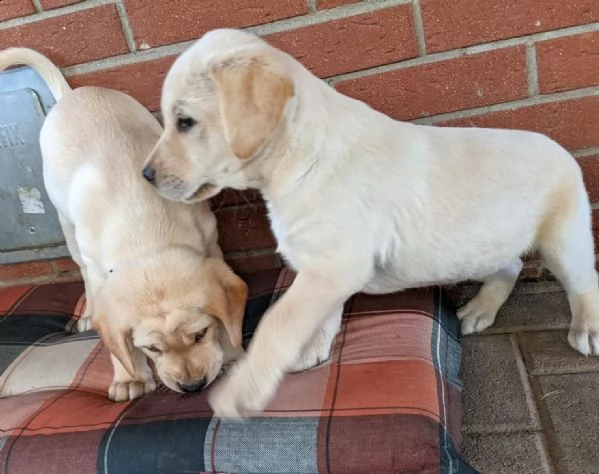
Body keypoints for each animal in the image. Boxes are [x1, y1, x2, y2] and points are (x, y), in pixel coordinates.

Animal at [0, 50, 248, 402]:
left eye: (201, 334)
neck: (146, 236)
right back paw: (87, 315)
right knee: (83, 273)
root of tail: (72, 94)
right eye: (152, 349)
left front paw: (232, 351)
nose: (192, 387)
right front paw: (128, 377)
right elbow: (116, 340)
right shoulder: (101, 272)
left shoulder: (210, 240)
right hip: (67, 225)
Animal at [143, 29, 596, 416]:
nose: (145, 175)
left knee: (582, 280)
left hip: (564, 238)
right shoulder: (323, 271)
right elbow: (318, 316)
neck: (298, 157)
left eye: (184, 122)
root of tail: (559, 148)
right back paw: (481, 309)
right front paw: (311, 350)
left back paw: (586, 329)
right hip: (487, 245)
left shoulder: (335, 264)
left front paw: (243, 389)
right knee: (512, 264)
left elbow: (279, 323)